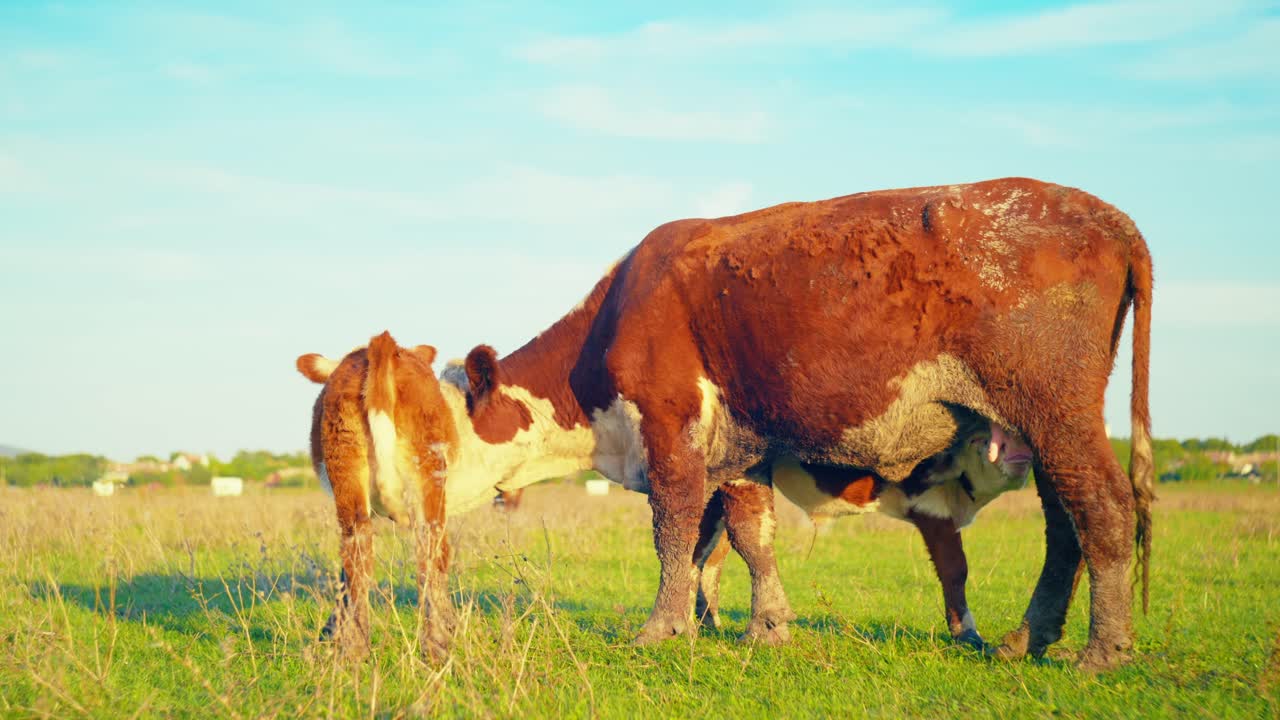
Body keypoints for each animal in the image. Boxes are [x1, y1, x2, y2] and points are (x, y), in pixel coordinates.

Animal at [695, 416, 1034, 648]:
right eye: (994, 439)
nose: (1022, 454)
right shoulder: (932, 505)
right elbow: (954, 569)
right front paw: (968, 634)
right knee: (703, 549)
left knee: (715, 554)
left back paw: (710, 623)